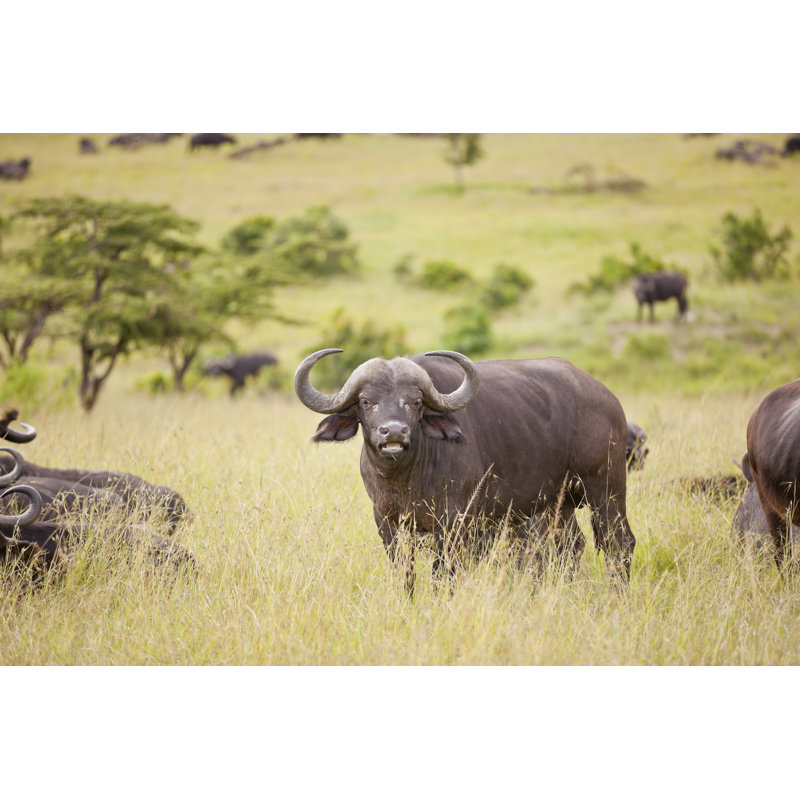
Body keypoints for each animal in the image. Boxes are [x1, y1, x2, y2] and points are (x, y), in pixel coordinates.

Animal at [295, 349, 635, 591]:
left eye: (415, 401)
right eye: (367, 401)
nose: (393, 432)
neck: (406, 479)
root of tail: (608, 399)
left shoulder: (453, 523)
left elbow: (442, 574)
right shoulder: (386, 521)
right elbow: (405, 572)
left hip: (606, 489)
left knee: (619, 543)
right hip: (558, 503)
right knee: (570, 546)